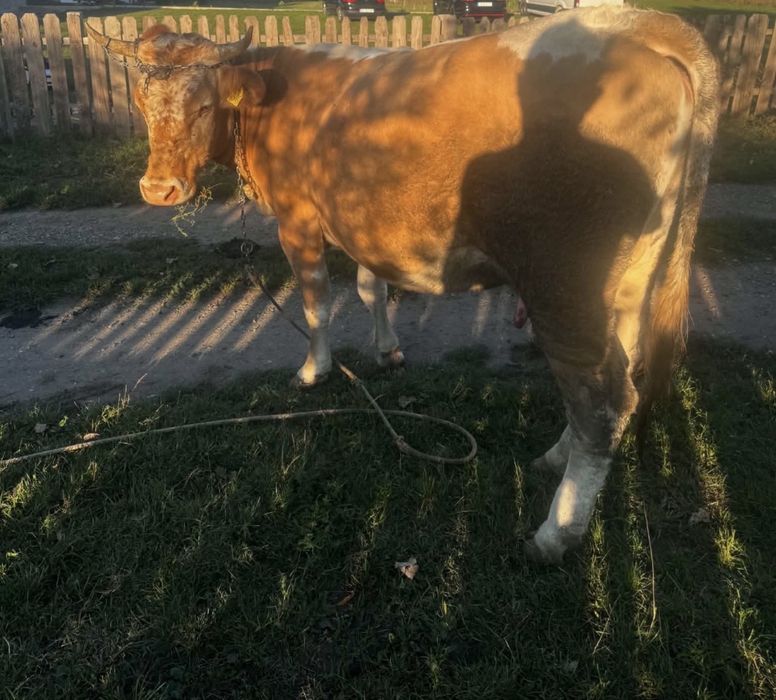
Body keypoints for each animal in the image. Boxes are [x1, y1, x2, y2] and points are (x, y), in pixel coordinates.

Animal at [86, 7, 719, 564]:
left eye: (204, 105)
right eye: (142, 102)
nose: (159, 189)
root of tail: (637, 26)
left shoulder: (298, 218)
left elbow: (316, 302)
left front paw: (314, 371)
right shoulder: (366, 222)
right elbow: (373, 289)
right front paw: (386, 349)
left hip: (564, 284)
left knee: (602, 400)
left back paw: (554, 534)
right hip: (631, 278)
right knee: (622, 371)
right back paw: (554, 457)